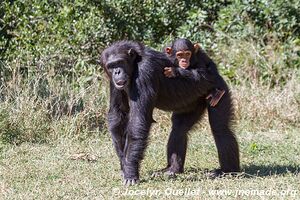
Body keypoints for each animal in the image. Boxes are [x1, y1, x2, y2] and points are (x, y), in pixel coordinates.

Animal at [99, 40, 240, 186]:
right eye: (111, 66)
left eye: (120, 62)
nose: (117, 71)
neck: (135, 64)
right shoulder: (113, 82)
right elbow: (118, 114)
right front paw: (123, 162)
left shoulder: (144, 72)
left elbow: (139, 120)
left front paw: (131, 171)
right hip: (192, 103)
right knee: (179, 129)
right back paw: (172, 169)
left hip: (220, 89)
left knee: (221, 129)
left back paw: (228, 170)